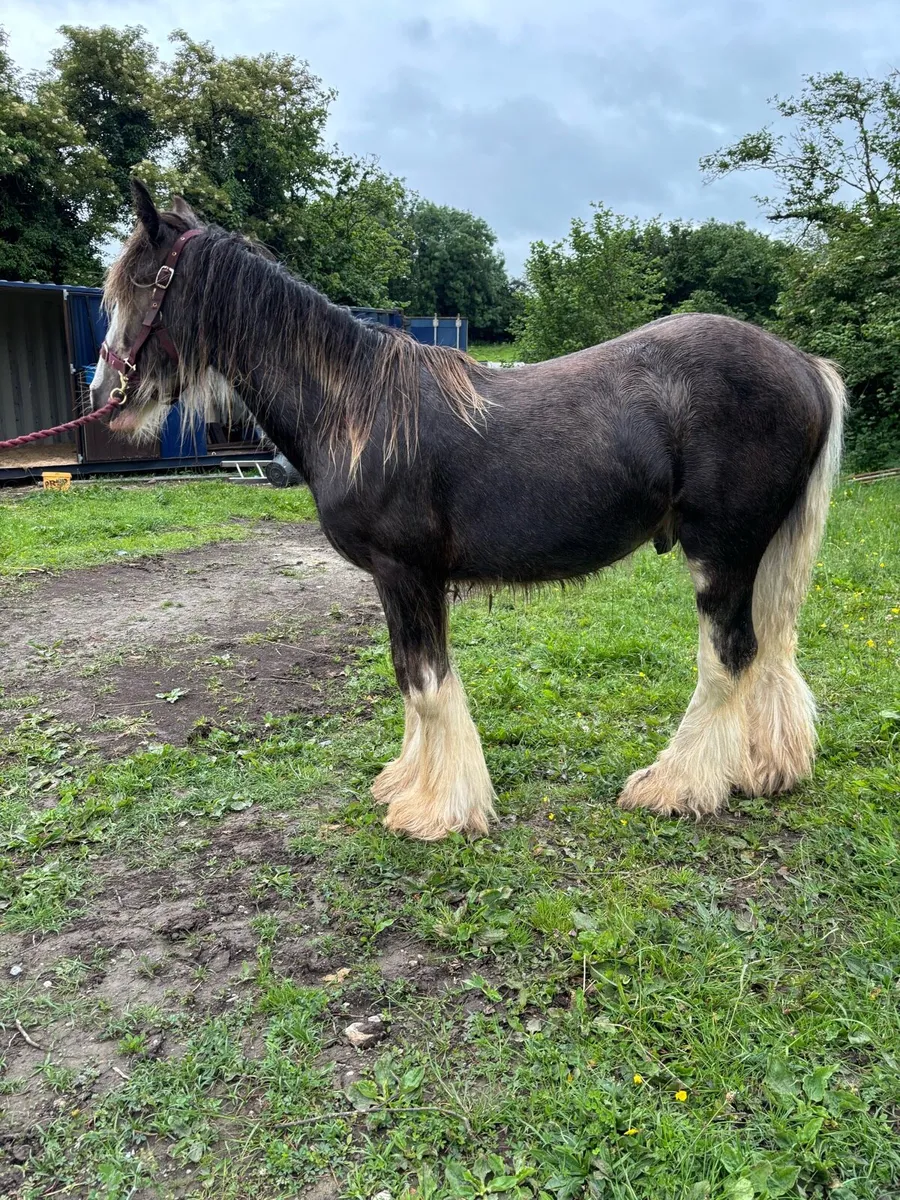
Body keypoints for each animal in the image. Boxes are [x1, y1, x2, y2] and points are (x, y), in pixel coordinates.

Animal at [91, 181, 846, 842]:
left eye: (141, 283)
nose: (105, 395)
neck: (356, 408)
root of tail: (803, 365)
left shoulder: (405, 571)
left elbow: (426, 684)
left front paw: (437, 811)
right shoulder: (407, 580)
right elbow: (409, 677)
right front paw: (408, 783)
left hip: (722, 552)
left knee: (728, 657)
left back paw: (677, 786)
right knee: (768, 648)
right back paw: (763, 769)